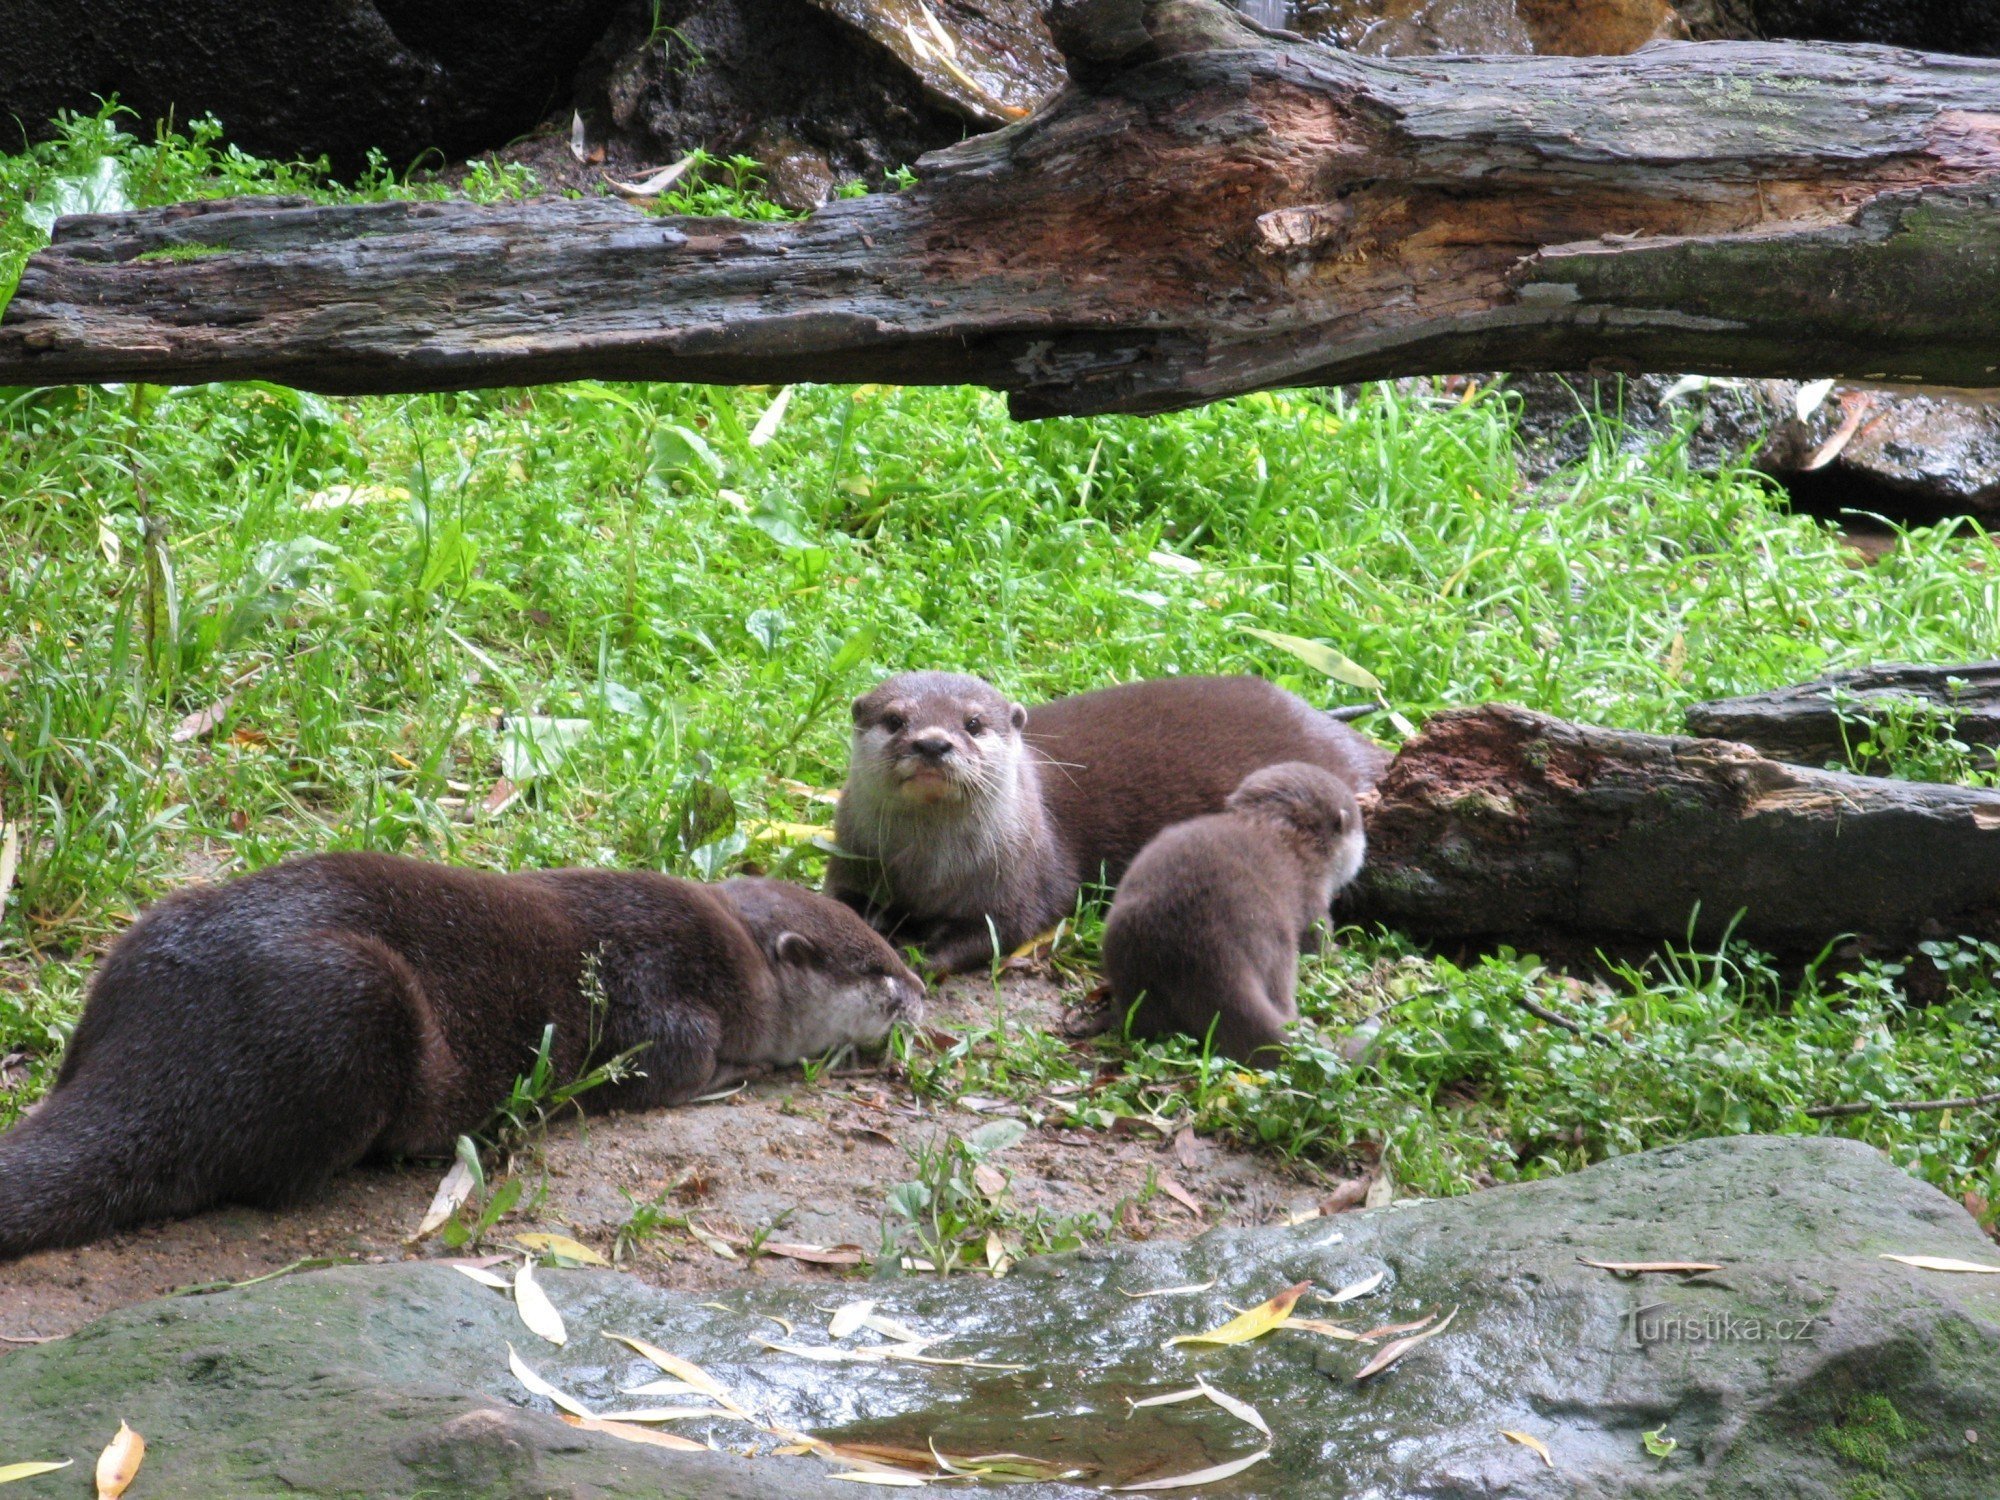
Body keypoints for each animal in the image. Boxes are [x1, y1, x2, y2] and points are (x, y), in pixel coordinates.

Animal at [0, 852, 920, 1264]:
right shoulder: (658, 986)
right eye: (879, 968)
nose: (922, 992)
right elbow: (669, 1065)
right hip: (349, 1007)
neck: (741, 958)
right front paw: (744, 1071)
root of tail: (162, 1046)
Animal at [828, 672, 1392, 976]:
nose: (932, 743)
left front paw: (921, 956)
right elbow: (841, 905)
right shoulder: (852, 857)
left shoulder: (1023, 880)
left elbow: (997, 931)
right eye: (895, 720)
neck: (928, 870)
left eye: (972, 723)